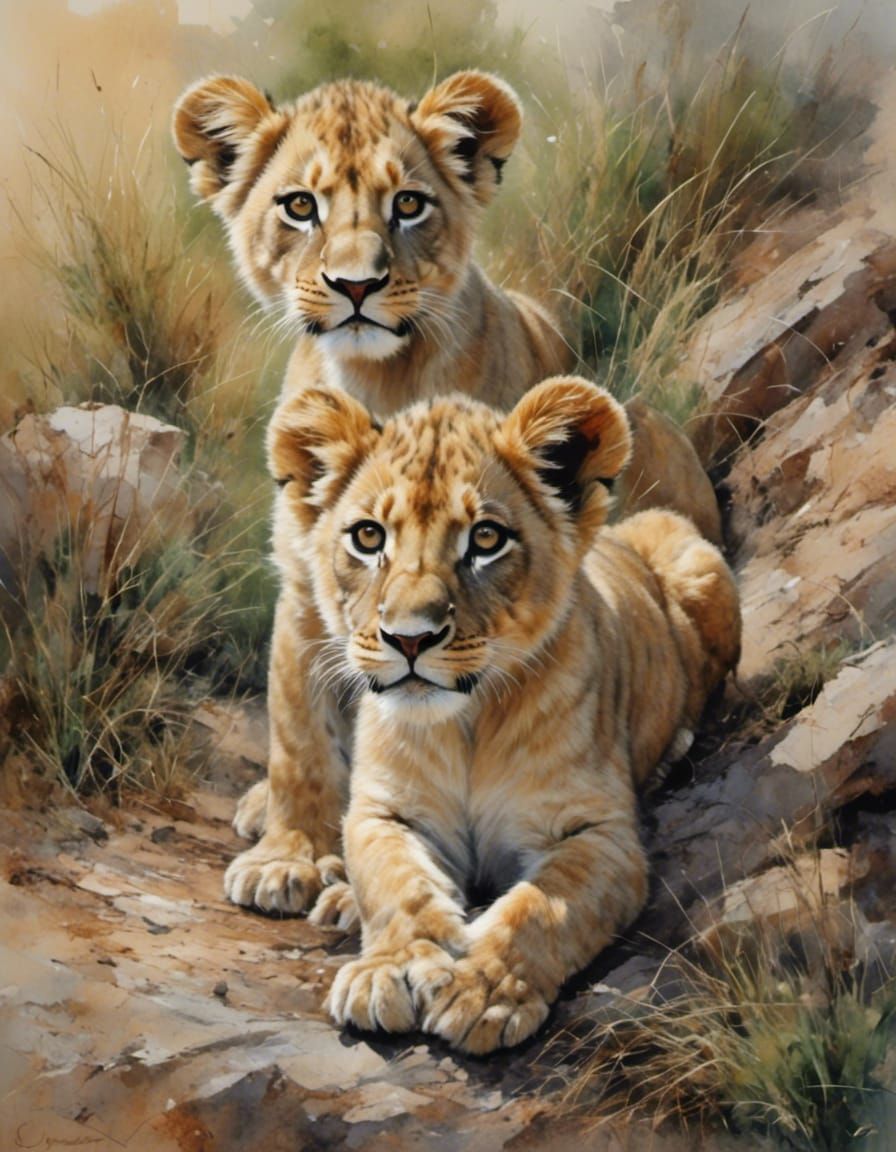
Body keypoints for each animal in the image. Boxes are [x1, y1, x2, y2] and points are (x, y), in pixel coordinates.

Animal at [172, 69, 723, 914]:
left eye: (408, 204)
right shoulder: (303, 584)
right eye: (299, 206)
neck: (377, 378)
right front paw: (290, 853)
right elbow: (299, 729)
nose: (356, 286)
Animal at [265, 376, 741, 1053]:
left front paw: (482, 990)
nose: (409, 638)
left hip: (696, 561)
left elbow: (541, 907)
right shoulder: (385, 812)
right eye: (368, 537)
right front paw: (390, 970)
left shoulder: (604, 836)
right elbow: (396, 884)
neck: (465, 725)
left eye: (486, 540)